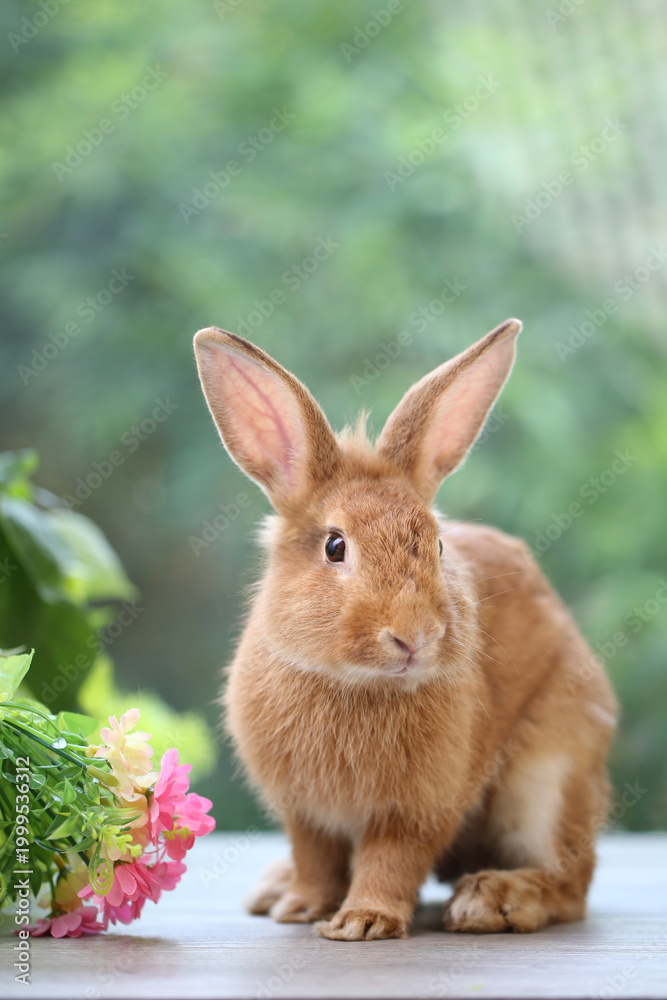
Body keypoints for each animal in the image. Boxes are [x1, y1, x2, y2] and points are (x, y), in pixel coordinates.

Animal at [193, 318, 617, 941]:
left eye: (439, 547)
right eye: (335, 546)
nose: (414, 637)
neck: (357, 683)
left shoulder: (418, 808)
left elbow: (392, 859)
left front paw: (362, 922)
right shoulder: (305, 813)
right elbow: (314, 858)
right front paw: (303, 907)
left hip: (549, 779)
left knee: (571, 882)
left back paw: (491, 900)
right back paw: (275, 889)